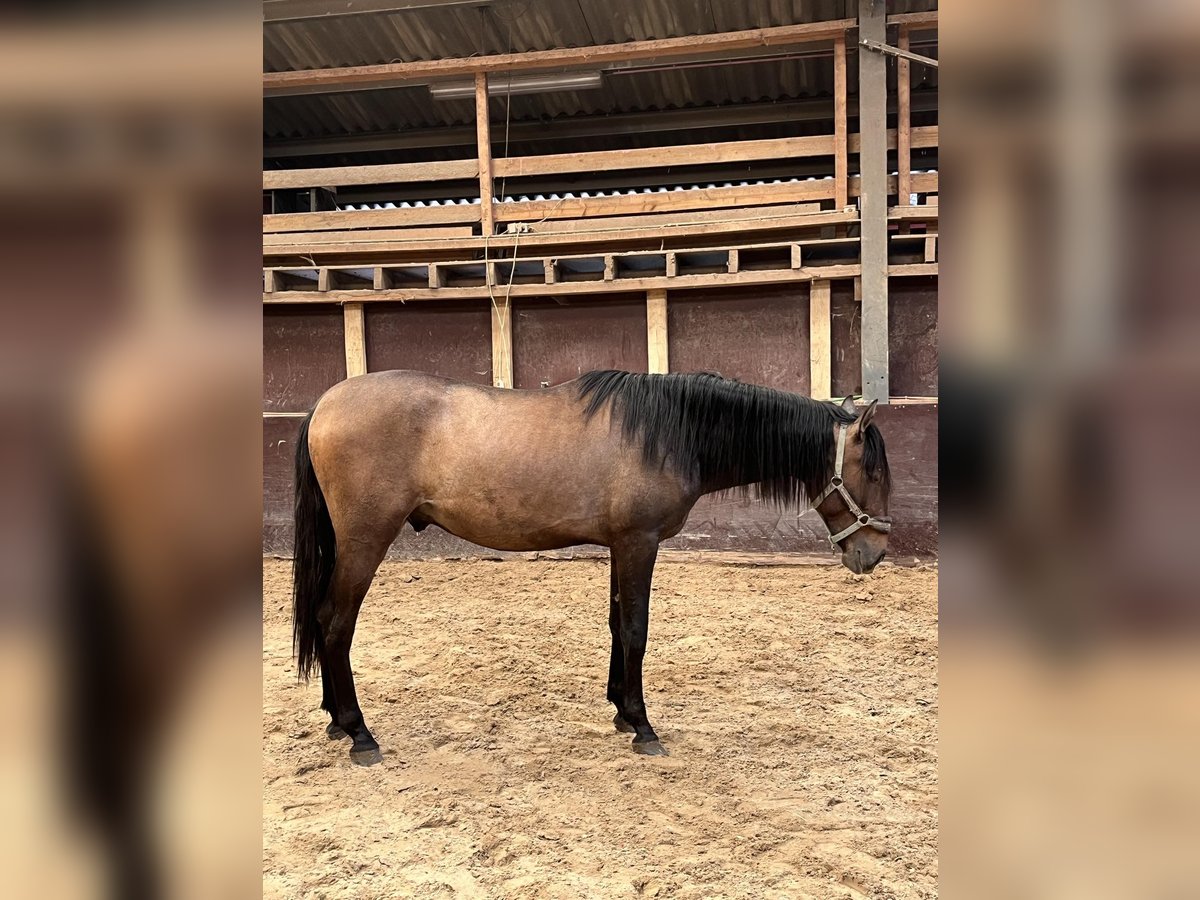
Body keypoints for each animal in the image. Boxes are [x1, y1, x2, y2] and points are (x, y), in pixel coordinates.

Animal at [290, 369, 892, 763]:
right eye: (875, 472)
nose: (874, 554)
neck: (669, 432)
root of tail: (323, 404)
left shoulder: (619, 546)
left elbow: (615, 624)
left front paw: (621, 711)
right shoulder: (638, 543)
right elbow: (636, 629)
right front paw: (643, 726)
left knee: (321, 620)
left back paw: (334, 721)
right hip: (365, 540)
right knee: (337, 624)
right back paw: (359, 734)